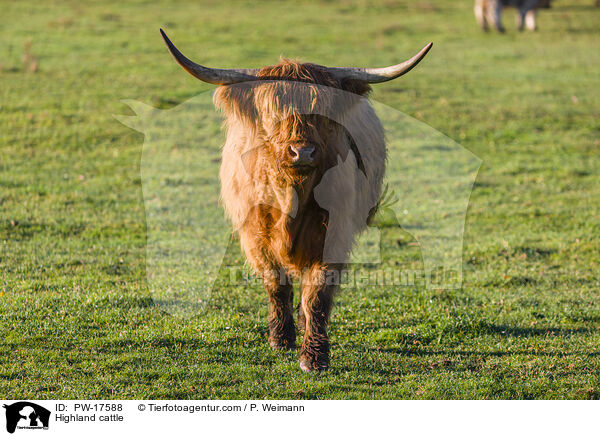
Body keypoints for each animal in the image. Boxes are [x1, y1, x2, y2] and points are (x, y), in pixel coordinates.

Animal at [159, 29, 432, 372]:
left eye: (323, 113)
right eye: (273, 113)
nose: (302, 152)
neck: (292, 197)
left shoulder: (334, 234)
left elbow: (317, 294)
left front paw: (314, 357)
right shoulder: (254, 235)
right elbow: (276, 284)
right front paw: (280, 339)